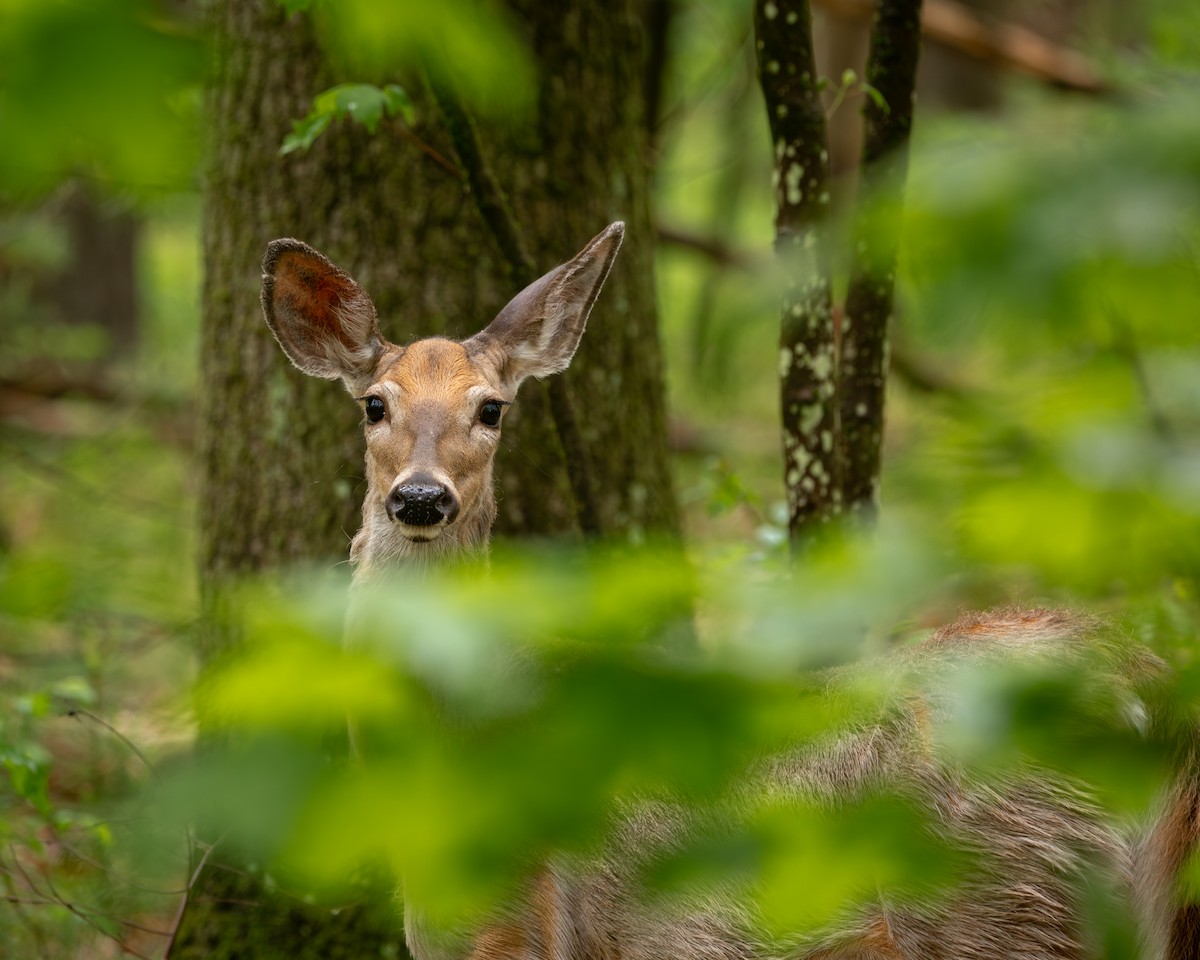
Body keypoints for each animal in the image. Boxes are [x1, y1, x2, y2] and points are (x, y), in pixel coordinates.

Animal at [259, 224, 1198, 960]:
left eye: (491, 409)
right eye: (374, 405)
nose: (421, 498)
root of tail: (1149, 696)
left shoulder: (510, 933)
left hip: (1005, 899)